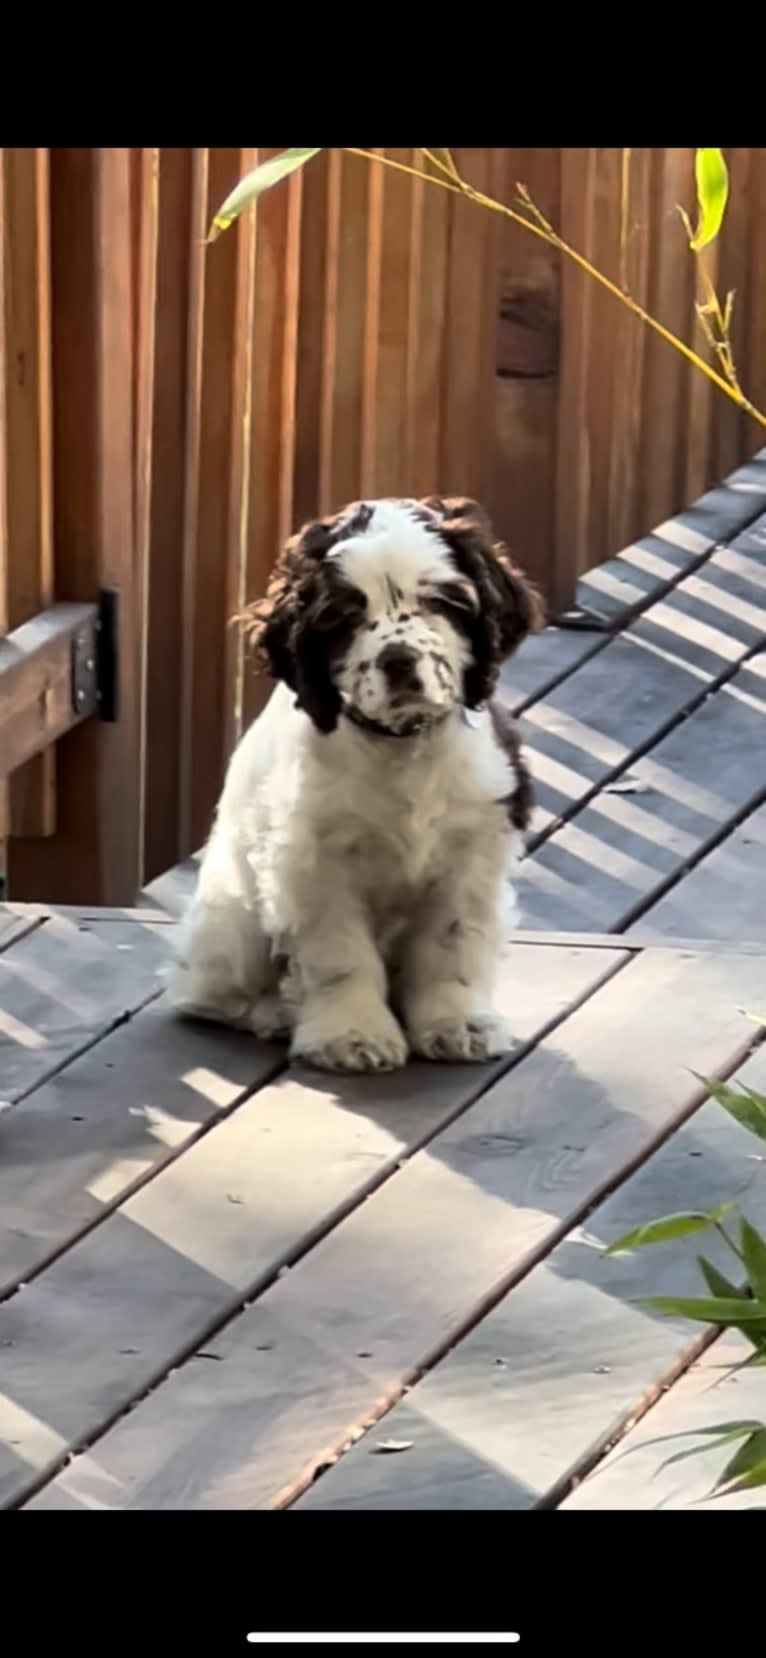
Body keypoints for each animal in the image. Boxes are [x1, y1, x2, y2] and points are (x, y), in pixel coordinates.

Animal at [170, 494, 540, 1074]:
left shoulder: (474, 848)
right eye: (343, 616)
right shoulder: (314, 860)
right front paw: (351, 1035)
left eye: (440, 601)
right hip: (233, 922)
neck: (402, 746)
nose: (398, 661)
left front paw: (458, 1023)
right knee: (206, 995)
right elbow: (340, 953)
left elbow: (453, 942)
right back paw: (278, 1012)